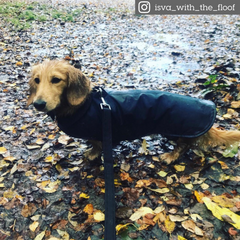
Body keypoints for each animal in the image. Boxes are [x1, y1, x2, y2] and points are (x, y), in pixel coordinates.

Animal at [26, 60, 240, 165]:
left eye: (56, 80)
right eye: (37, 80)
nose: (38, 104)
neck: (84, 105)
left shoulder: (98, 134)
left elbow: (96, 146)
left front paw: (93, 155)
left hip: (177, 132)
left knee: (184, 146)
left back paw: (170, 156)